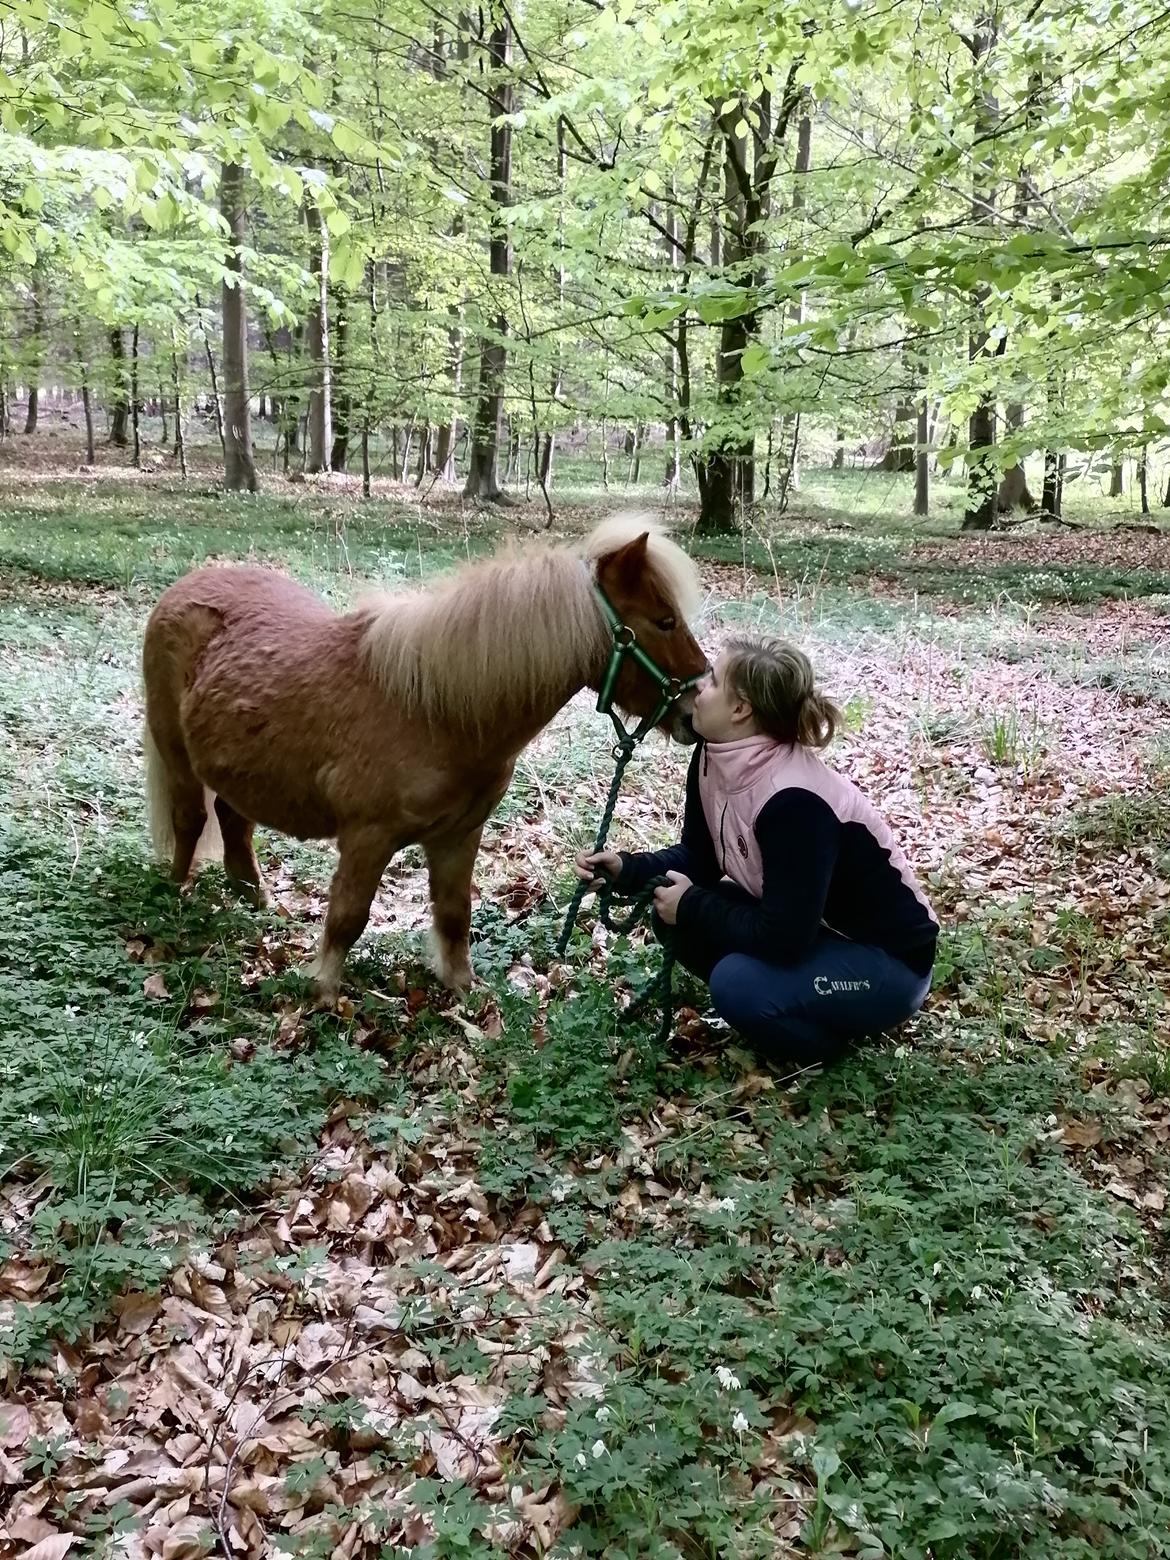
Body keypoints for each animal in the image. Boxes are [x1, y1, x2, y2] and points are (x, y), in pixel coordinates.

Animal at [137, 511, 705, 998]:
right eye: (664, 621)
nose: (693, 711)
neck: (436, 711)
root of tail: (182, 589)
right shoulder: (367, 838)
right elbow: (348, 915)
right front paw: (322, 990)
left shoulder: (458, 836)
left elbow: (454, 914)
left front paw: (461, 988)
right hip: (175, 754)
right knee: (190, 820)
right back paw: (176, 896)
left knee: (233, 817)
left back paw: (253, 897)